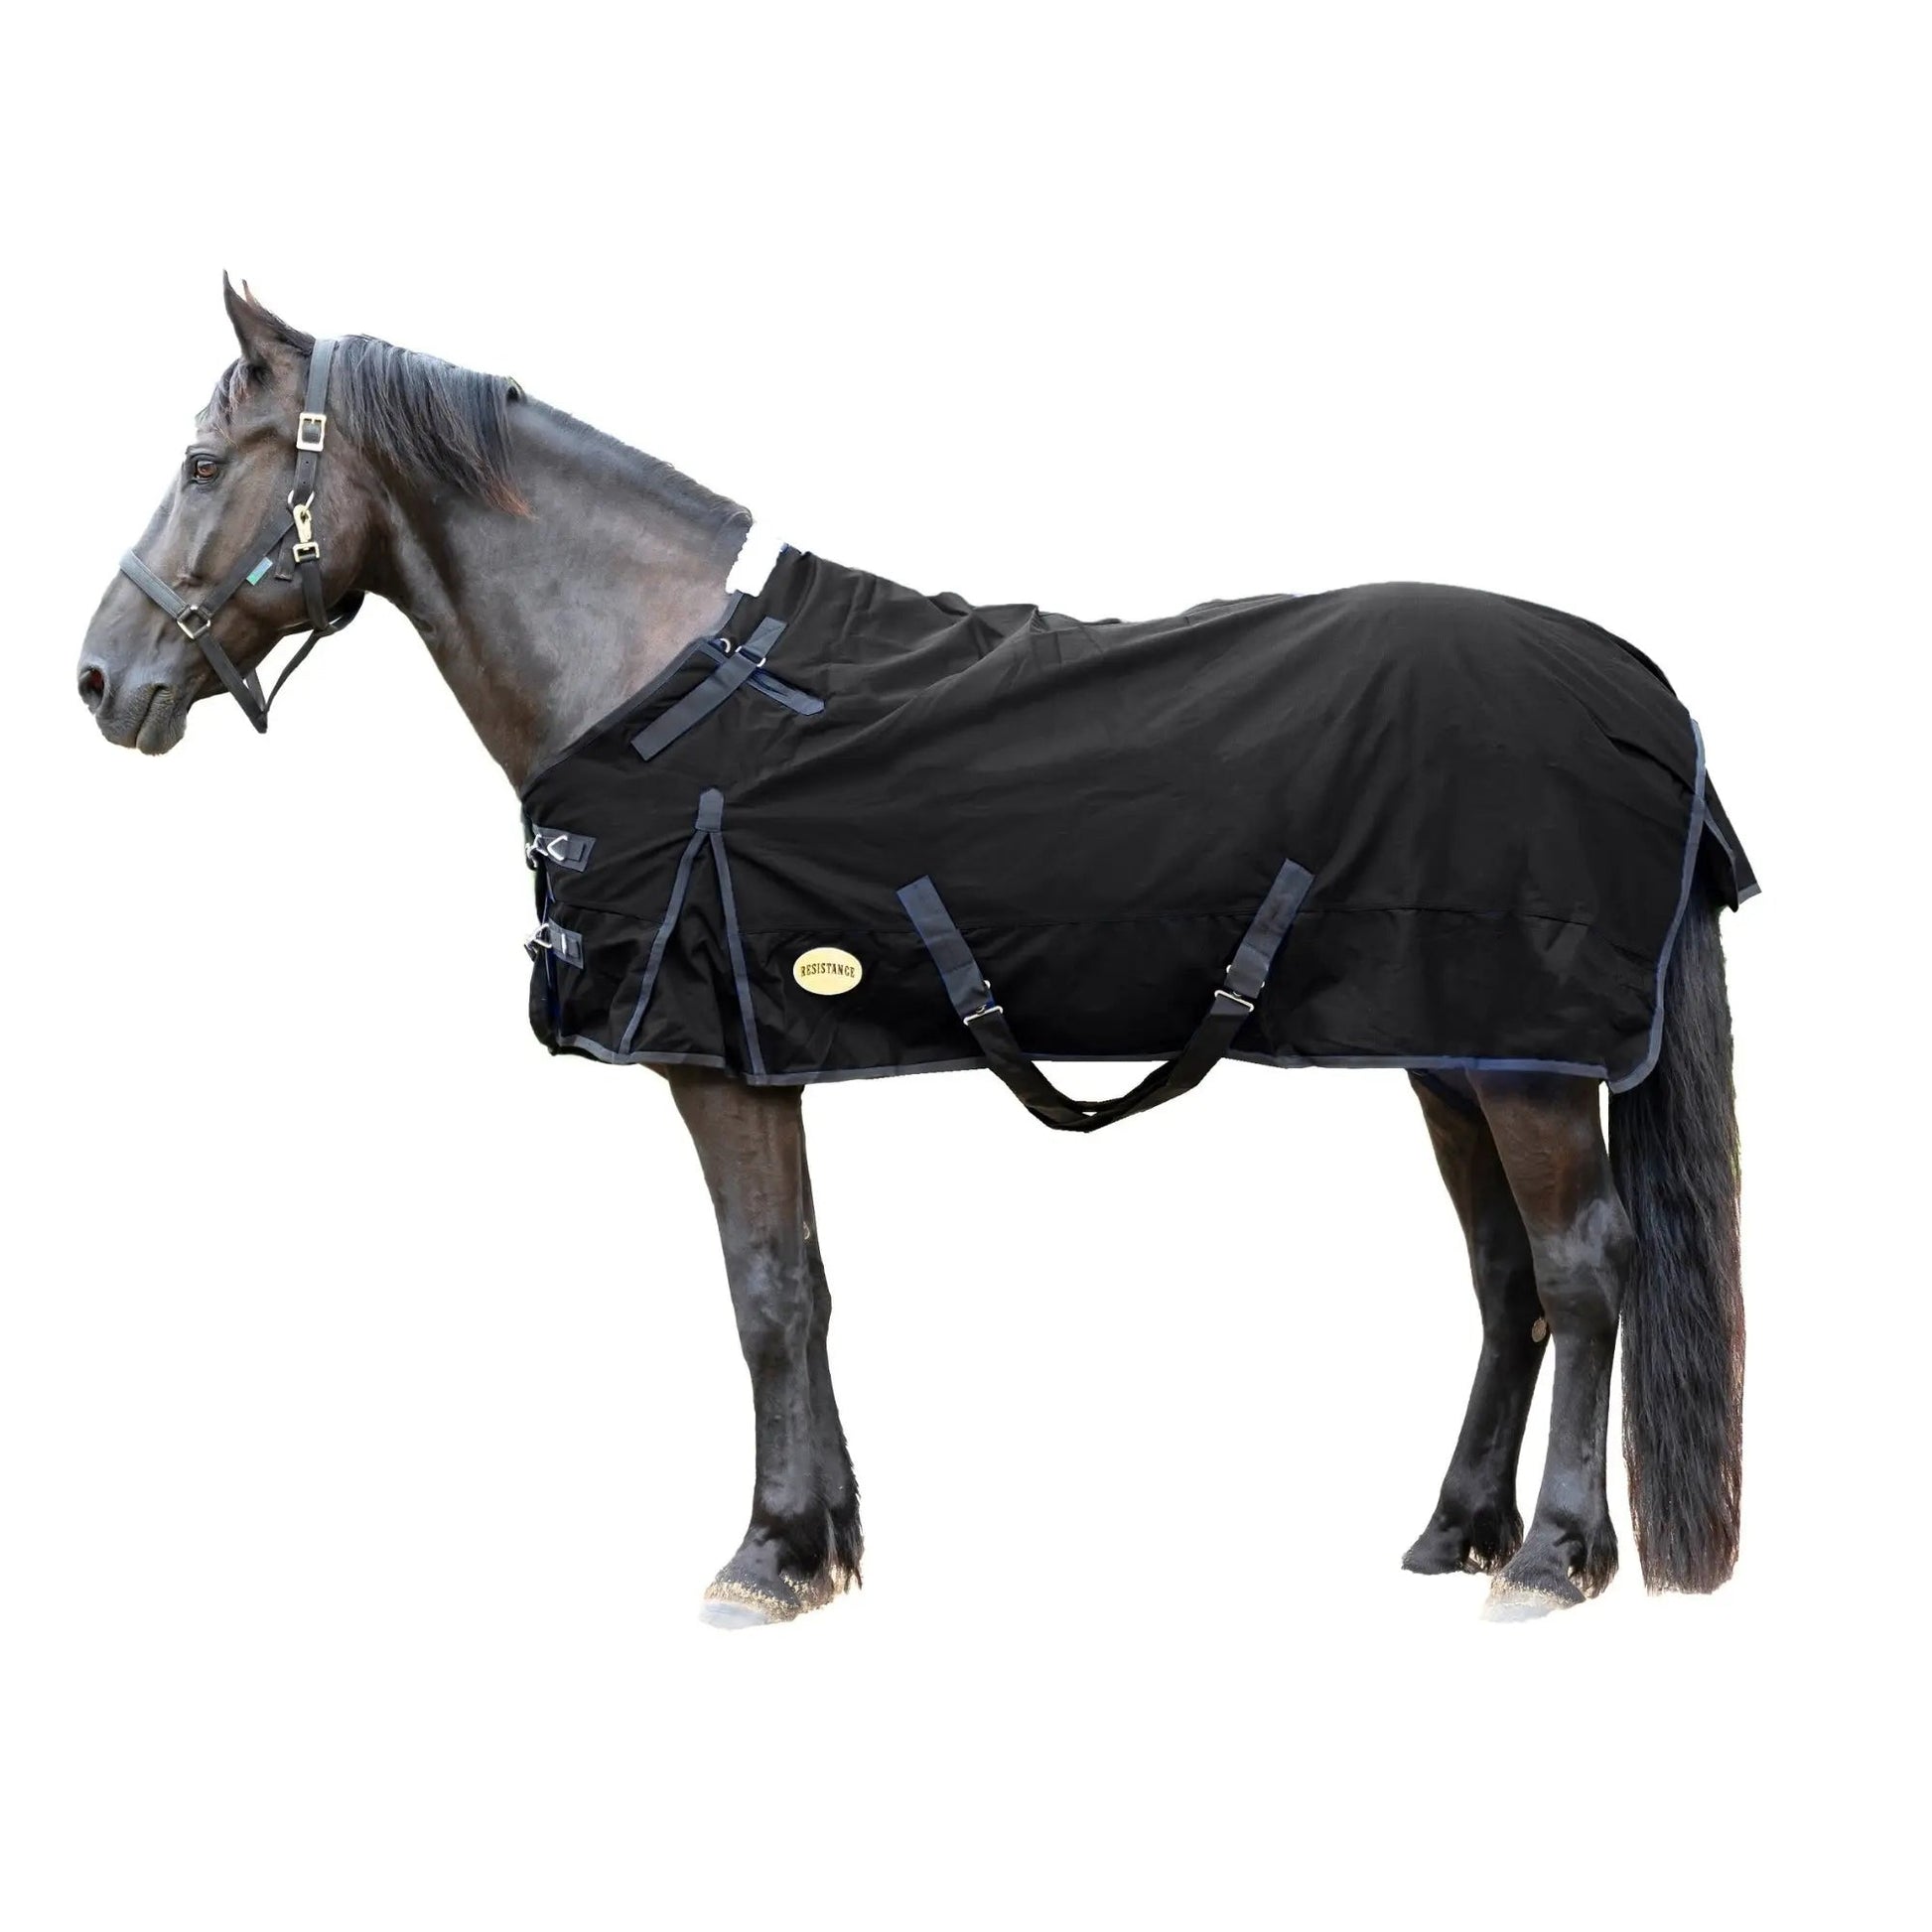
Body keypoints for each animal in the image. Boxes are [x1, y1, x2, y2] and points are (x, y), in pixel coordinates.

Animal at [77, 278, 1747, 1626]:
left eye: (201, 464)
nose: (100, 676)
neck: (656, 673)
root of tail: (1637, 685)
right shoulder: (763, 1056)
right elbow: (805, 1284)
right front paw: (822, 1544)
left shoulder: (711, 1060)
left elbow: (761, 1290)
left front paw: (763, 1558)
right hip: (1452, 1047)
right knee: (1504, 1272)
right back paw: (1456, 1529)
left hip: (1524, 1061)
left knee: (1581, 1265)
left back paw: (1552, 1556)